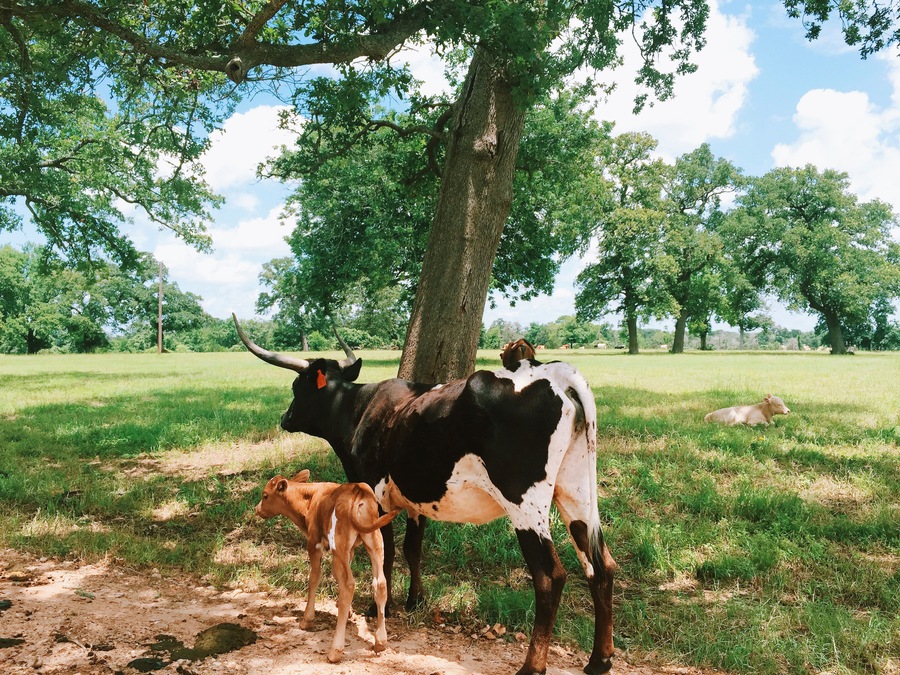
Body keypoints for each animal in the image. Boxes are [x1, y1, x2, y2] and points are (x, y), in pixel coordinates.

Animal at [233, 315, 616, 675]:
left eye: (297, 387)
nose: (285, 418)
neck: (359, 409)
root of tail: (554, 371)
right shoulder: (415, 500)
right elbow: (412, 549)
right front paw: (415, 600)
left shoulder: (375, 495)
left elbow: (385, 555)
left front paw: (379, 608)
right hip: (576, 494)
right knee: (601, 566)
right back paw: (600, 660)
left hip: (525, 503)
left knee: (550, 576)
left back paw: (533, 665)